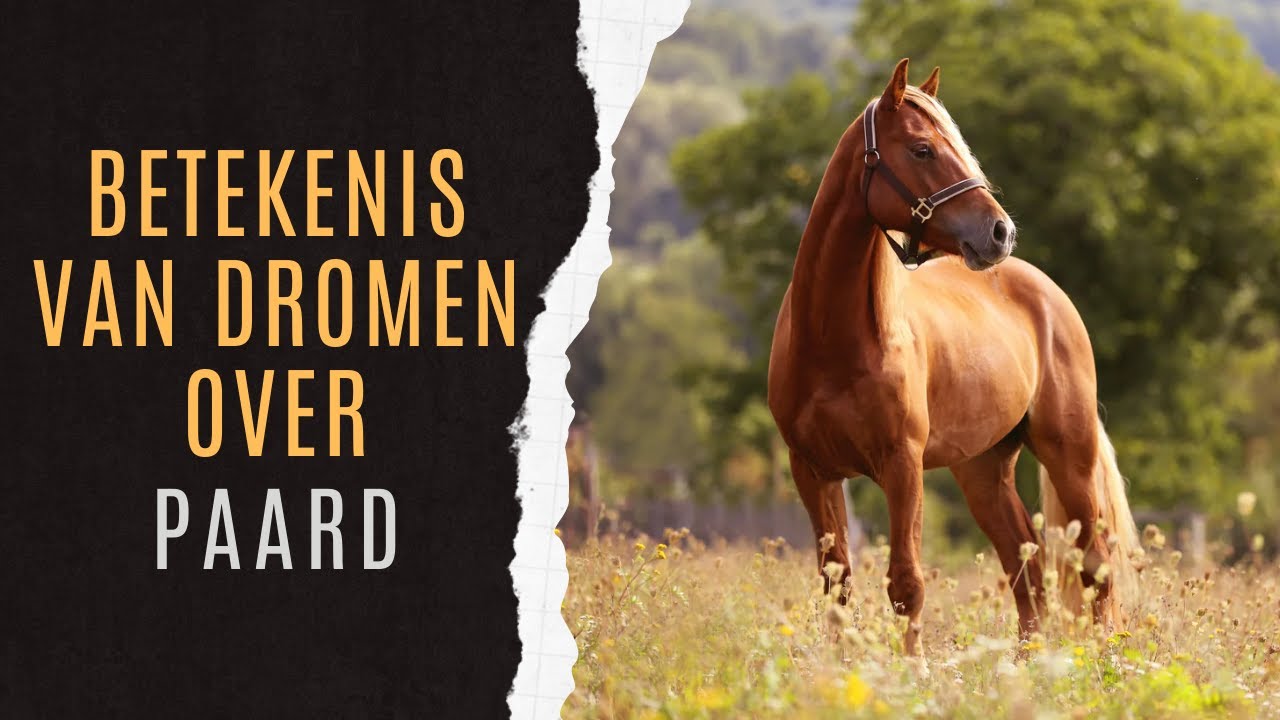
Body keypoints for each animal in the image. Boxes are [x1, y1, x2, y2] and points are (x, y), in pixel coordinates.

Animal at [766, 58, 1139, 656]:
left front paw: (912, 669)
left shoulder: (901, 465)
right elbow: (837, 585)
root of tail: (1047, 292)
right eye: (922, 149)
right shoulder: (813, 471)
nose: (1000, 231)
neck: (832, 343)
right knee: (1026, 570)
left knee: (1094, 565)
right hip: (983, 469)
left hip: (1069, 455)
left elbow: (906, 583)